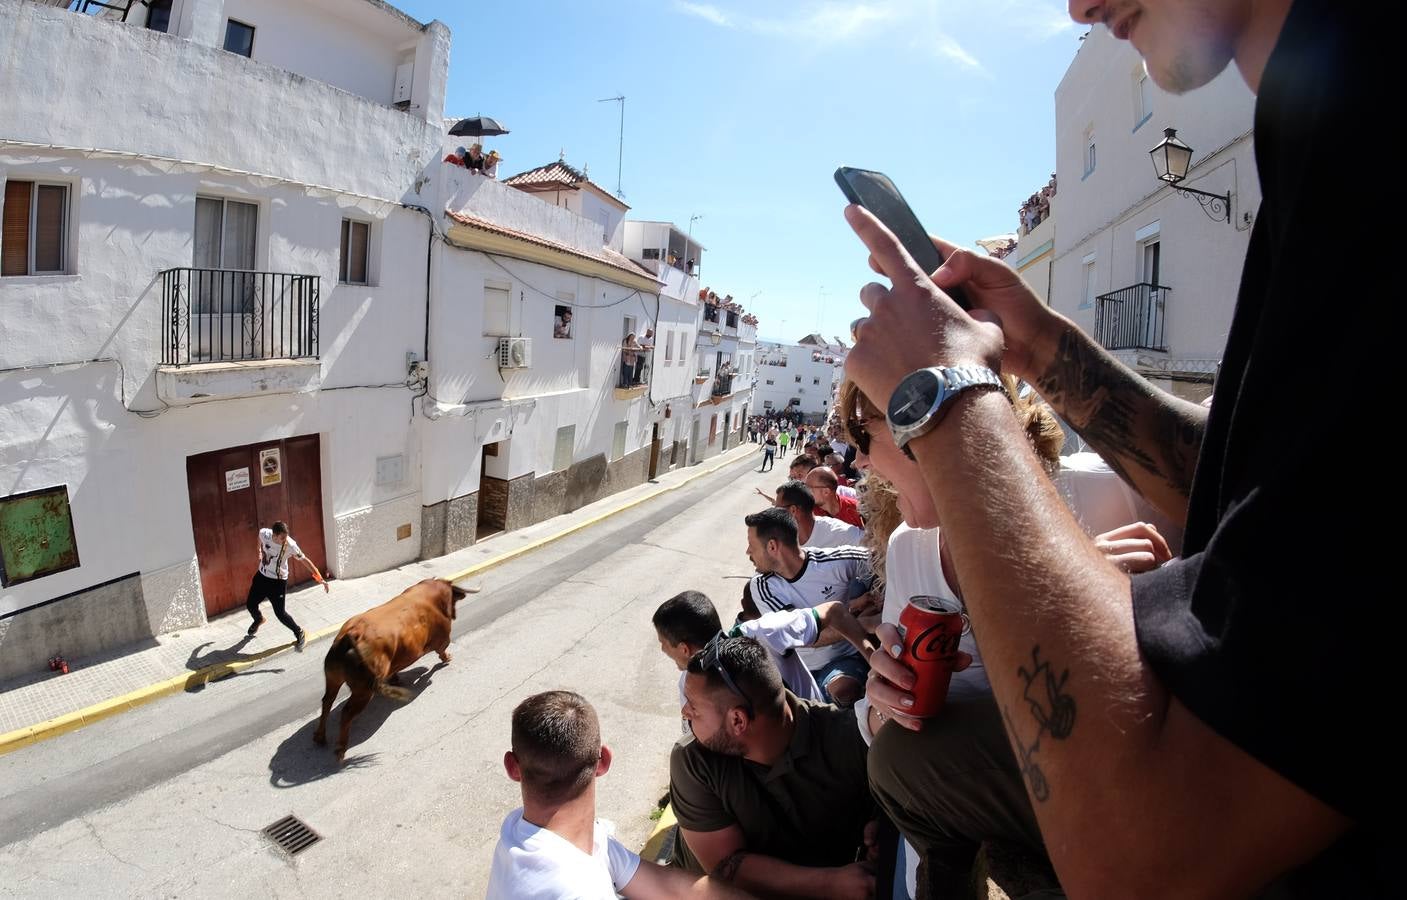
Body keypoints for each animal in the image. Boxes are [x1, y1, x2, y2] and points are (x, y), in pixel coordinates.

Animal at [315, 579, 478, 765]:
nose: (455, 614)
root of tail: (352, 633)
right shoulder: (442, 639)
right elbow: (441, 652)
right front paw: (445, 660)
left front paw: (395, 679)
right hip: (363, 692)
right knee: (346, 713)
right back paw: (340, 750)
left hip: (333, 678)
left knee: (327, 701)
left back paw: (320, 737)